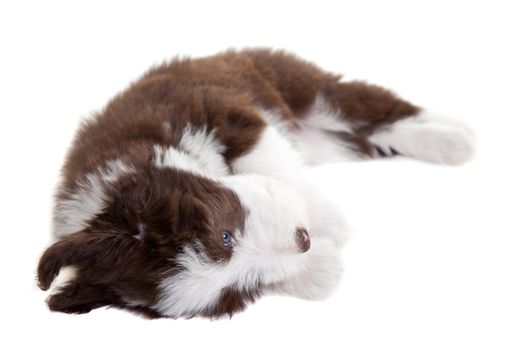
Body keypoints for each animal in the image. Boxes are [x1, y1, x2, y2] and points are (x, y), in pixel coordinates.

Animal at [34, 47, 472, 318]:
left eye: (224, 235)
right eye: (239, 290)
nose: (303, 239)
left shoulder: (222, 112)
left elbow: (264, 155)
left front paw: (327, 219)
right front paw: (322, 270)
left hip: (298, 84)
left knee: (373, 106)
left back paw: (455, 136)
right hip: (331, 142)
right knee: (372, 136)